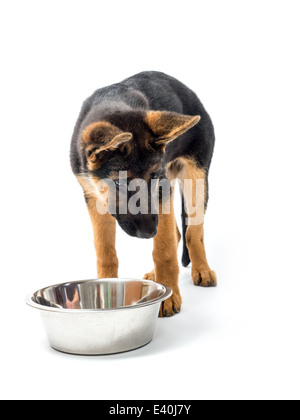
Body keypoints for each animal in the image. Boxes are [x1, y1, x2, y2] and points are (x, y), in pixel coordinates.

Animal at [69, 70, 216, 316]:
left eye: (154, 176)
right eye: (119, 184)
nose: (149, 232)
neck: (113, 101)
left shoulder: (162, 190)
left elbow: (164, 250)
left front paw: (169, 297)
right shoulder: (93, 197)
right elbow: (105, 251)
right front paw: (105, 292)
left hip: (195, 180)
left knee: (192, 233)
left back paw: (202, 270)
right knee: (177, 232)